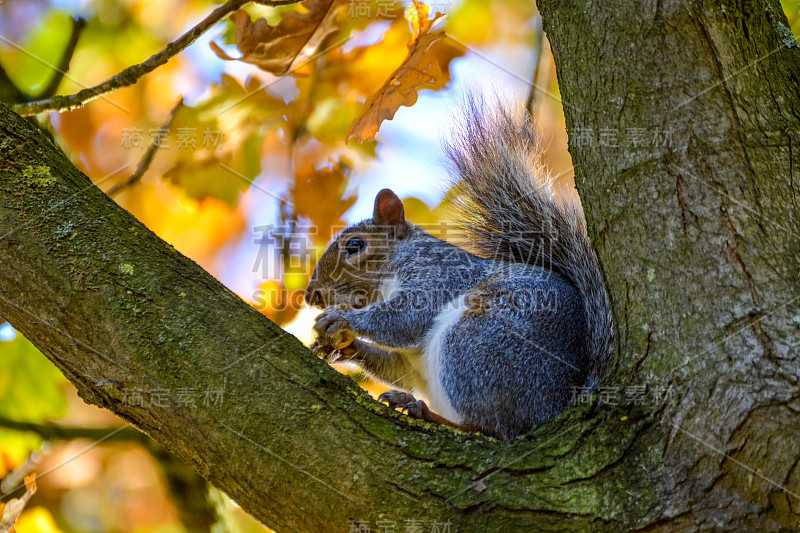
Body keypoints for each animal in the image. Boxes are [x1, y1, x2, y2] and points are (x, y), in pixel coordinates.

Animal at [304, 97, 612, 438]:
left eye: (355, 246)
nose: (311, 295)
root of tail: (558, 404)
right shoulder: (408, 361)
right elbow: (398, 368)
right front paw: (343, 347)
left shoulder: (438, 274)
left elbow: (406, 317)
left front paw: (341, 318)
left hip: (474, 343)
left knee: (493, 429)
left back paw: (426, 412)